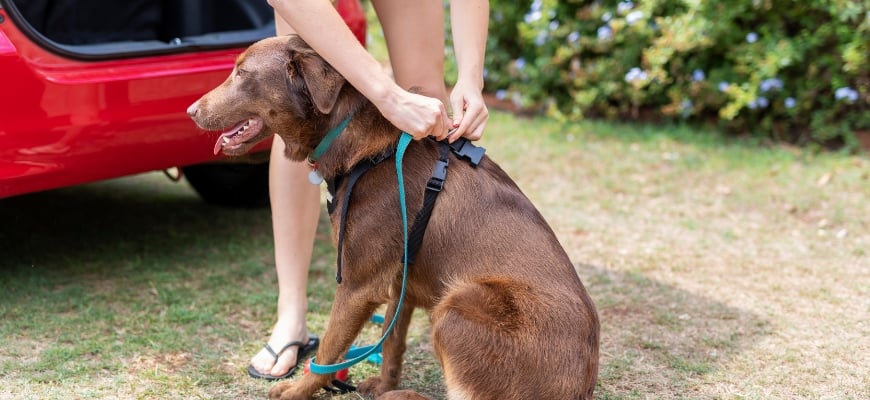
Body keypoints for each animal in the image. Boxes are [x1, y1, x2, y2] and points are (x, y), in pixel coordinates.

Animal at [189, 36, 600, 398]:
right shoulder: (400, 279)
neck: (357, 145)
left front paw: (296, 392)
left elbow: (327, 354)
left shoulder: (358, 286)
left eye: (242, 73)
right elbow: (391, 338)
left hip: (458, 303)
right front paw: (383, 383)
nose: (190, 111)